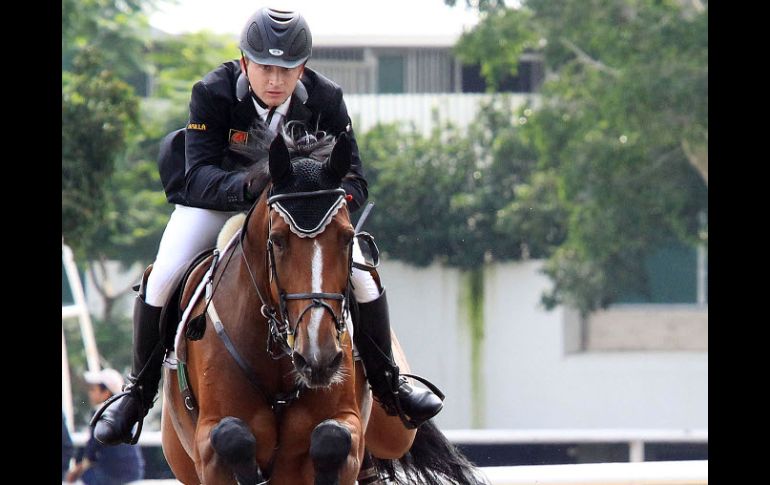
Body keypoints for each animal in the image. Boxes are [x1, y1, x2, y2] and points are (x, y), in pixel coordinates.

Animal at [160, 130, 488, 484]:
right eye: (277, 240)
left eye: (346, 237)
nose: (319, 357)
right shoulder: (206, 445)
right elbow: (232, 435)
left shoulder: (347, 423)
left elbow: (332, 437)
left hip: (394, 430)